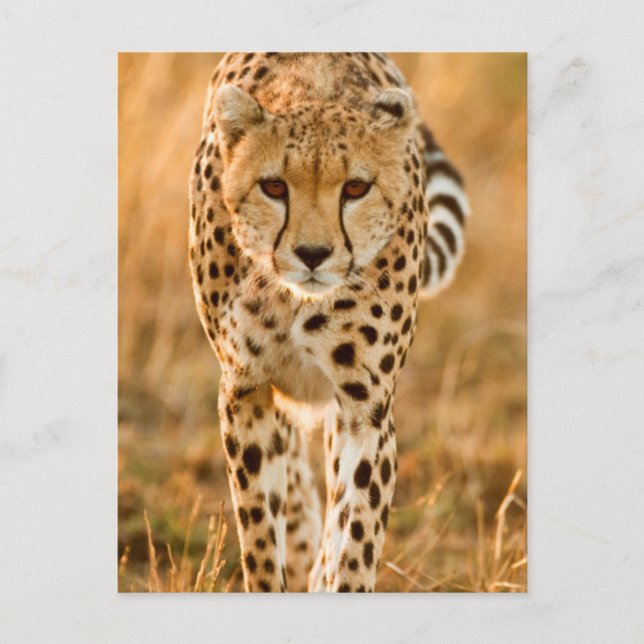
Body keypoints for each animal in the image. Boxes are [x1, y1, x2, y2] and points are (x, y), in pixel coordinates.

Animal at [188, 52, 469, 592]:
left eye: (356, 188)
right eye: (274, 186)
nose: (313, 254)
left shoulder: (366, 407)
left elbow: (355, 532)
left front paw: (338, 576)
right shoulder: (244, 388)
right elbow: (259, 529)